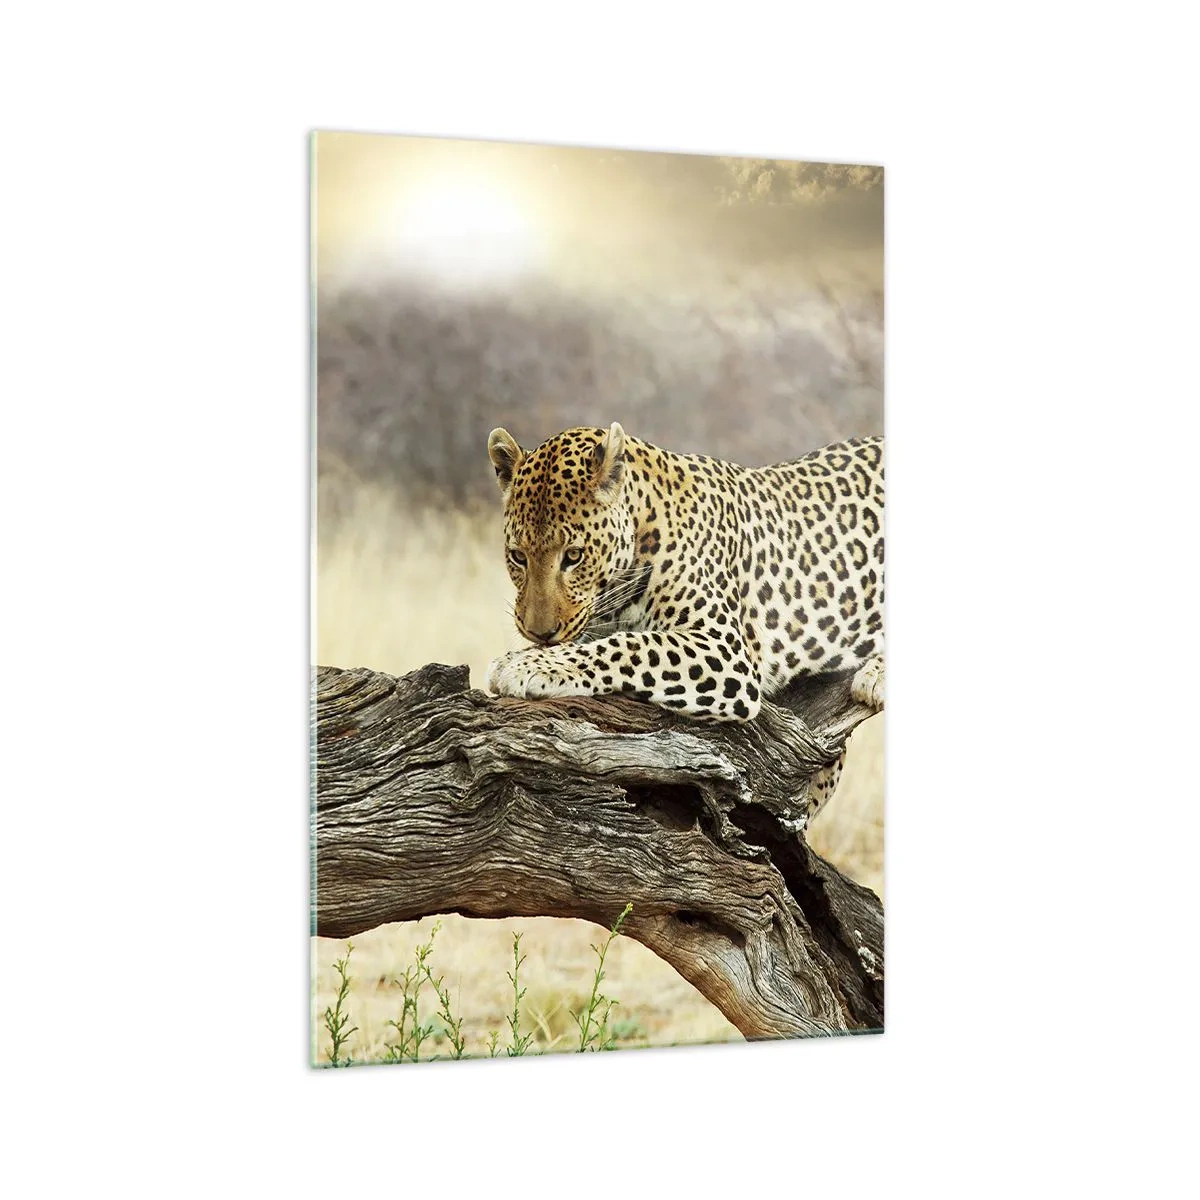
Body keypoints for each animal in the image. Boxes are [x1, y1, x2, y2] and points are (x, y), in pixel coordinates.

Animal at [485, 422, 884, 812]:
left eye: (573, 556)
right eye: (518, 556)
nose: (539, 633)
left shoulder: (725, 649)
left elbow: (628, 645)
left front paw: (524, 665)